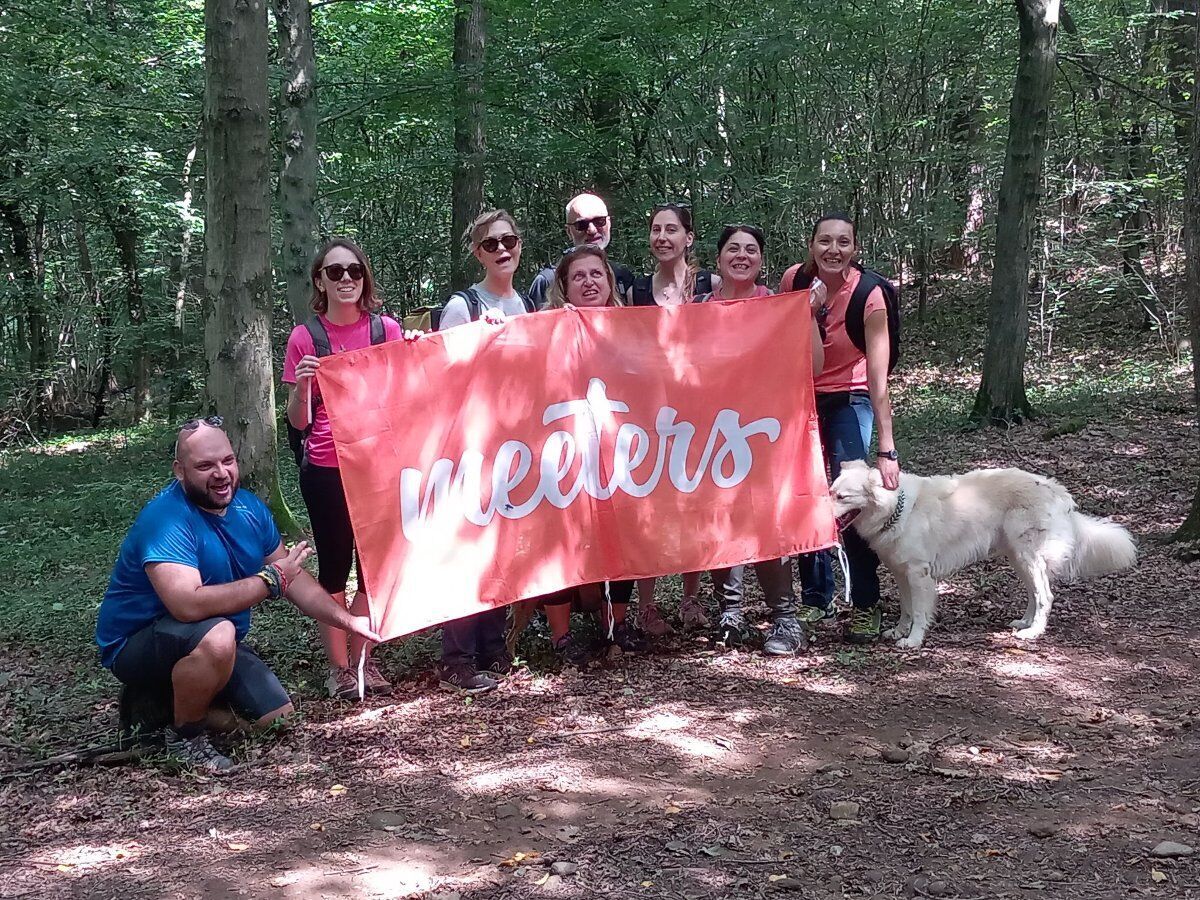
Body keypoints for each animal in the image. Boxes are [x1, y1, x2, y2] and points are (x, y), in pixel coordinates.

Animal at [830, 465, 1137, 648]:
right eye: (831, 492)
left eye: (842, 497)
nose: (821, 514)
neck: (898, 508)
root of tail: (1058, 492)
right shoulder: (901, 572)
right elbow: (906, 608)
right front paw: (899, 632)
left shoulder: (918, 573)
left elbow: (918, 611)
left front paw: (914, 640)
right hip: (1019, 557)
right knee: (1034, 593)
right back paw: (1023, 623)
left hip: (1028, 555)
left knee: (1045, 595)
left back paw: (1033, 632)